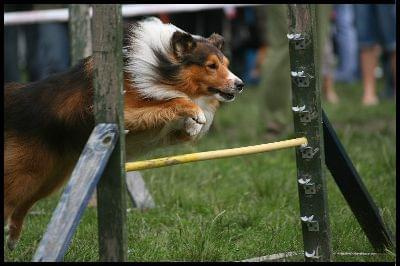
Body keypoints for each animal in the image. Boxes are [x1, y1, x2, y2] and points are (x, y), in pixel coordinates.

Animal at [3, 17, 244, 249]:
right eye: (211, 66)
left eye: (226, 65)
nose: (240, 84)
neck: (160, 66)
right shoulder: (123, 112)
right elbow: (174, 101)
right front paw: (195, 113)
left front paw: (194, 125)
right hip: (24, 174)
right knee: (12, 201)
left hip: (50, 177)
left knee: (24, 204)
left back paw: (13, 238)